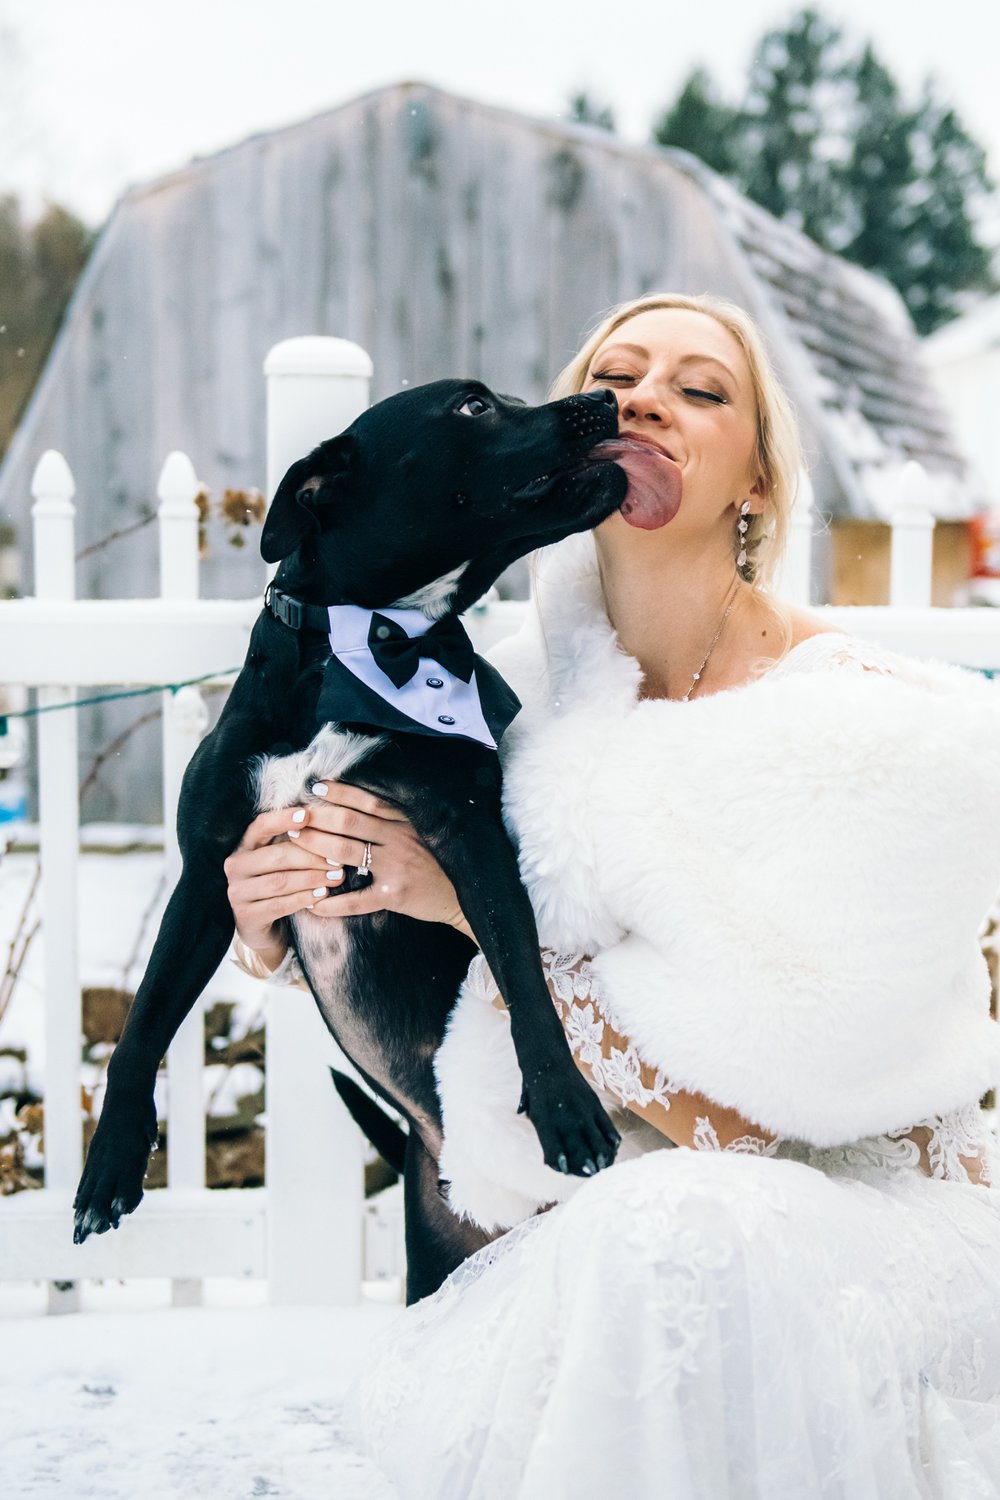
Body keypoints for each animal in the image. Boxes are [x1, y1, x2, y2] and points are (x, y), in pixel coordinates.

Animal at [74, 378, 629, 1302]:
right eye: (473, 407)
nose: (608, 399)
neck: (362, 641)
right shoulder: (213, 873)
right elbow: (143, 1026)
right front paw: (109, 1166)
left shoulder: (472, 836)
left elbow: (522, 975)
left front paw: (563, 1106)